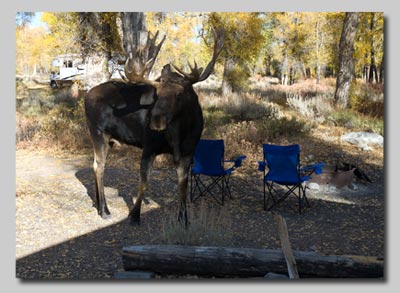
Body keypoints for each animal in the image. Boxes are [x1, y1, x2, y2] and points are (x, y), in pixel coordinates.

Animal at [84, 30, 223, 224]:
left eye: (180, 94)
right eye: (156, 94)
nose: (156, 120)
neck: (181, 134)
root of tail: (86, 95)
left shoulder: (188, 152)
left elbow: (182, 184)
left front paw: (184, 218)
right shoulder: (149, 147)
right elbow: (144, 182)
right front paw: (134, 214)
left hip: (109, 139)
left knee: (95, 164)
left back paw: (98, 205)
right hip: (97, 133)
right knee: (99, 165)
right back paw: (104, 209)